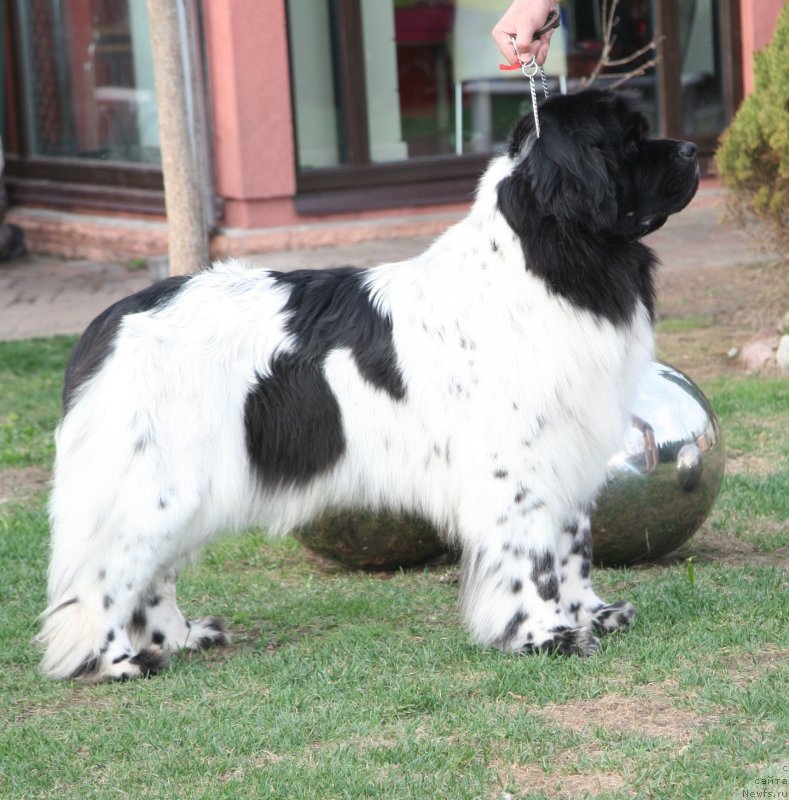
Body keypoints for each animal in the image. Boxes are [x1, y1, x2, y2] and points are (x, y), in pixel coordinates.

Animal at [40, 92, 700, 680]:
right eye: (630, 141)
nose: (693, 148)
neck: (549, 263)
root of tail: (108, 325)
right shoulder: (517, 468)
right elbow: (533, 559)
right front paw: (547, 636)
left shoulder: (570, 451)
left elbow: (572, 549)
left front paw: (593, 615)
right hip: (160, 483)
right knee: (105, 575)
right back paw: (118, 663)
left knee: (154, 574)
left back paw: (180, 638)